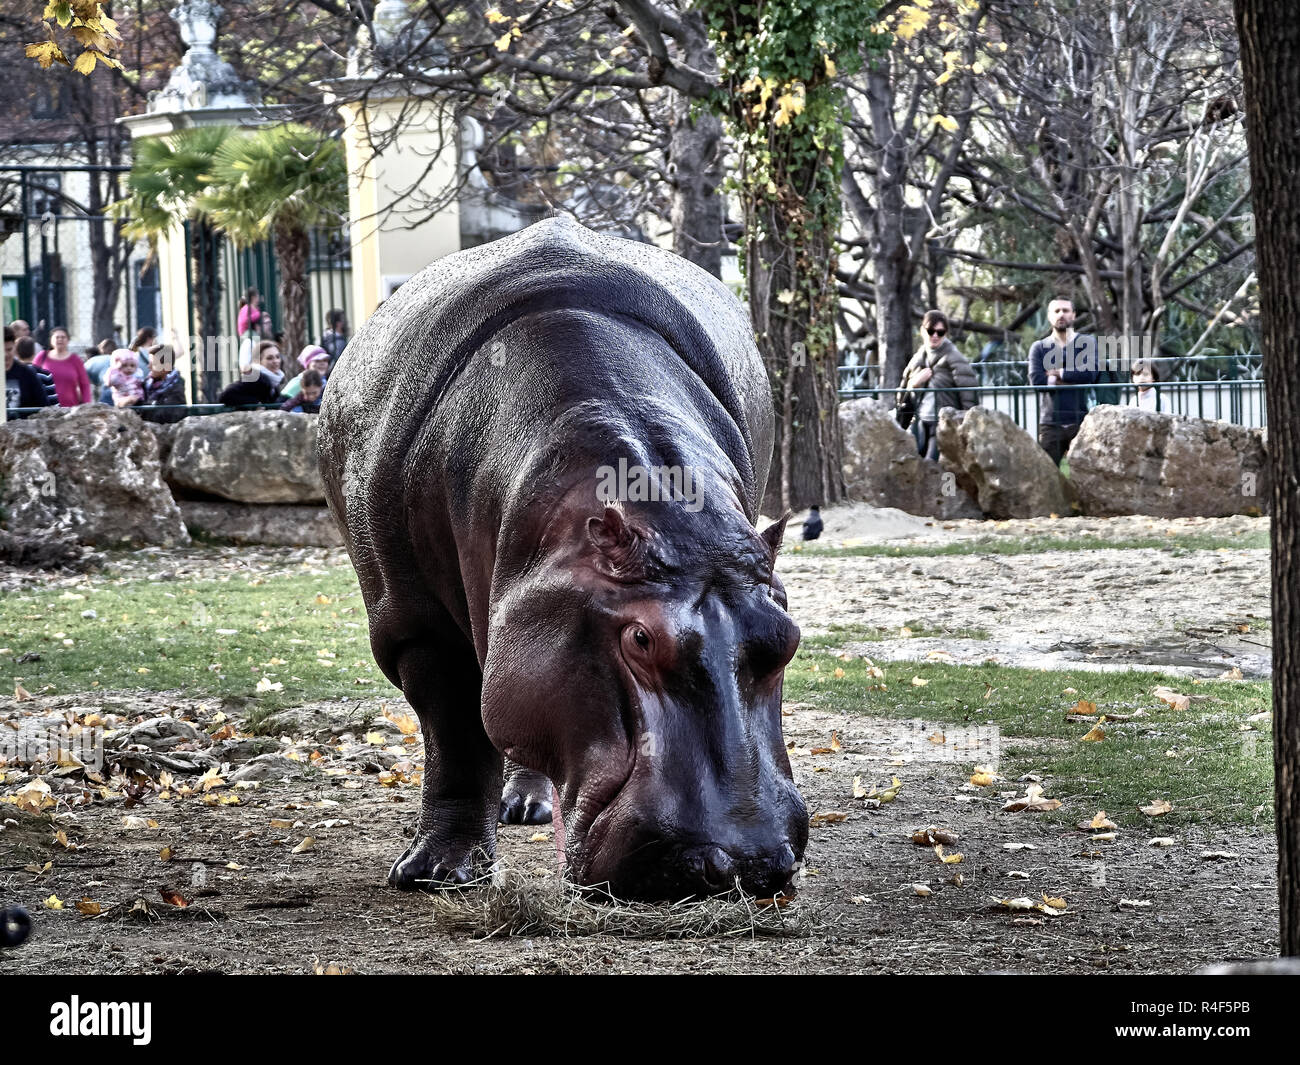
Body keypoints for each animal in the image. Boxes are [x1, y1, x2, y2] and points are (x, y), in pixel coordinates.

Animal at [318, 214, 807, 900]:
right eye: (640, 639)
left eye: (788, 636)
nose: (744, 864)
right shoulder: (417, 628)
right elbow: (455, 736)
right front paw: (436, 873)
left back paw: (528, 804)